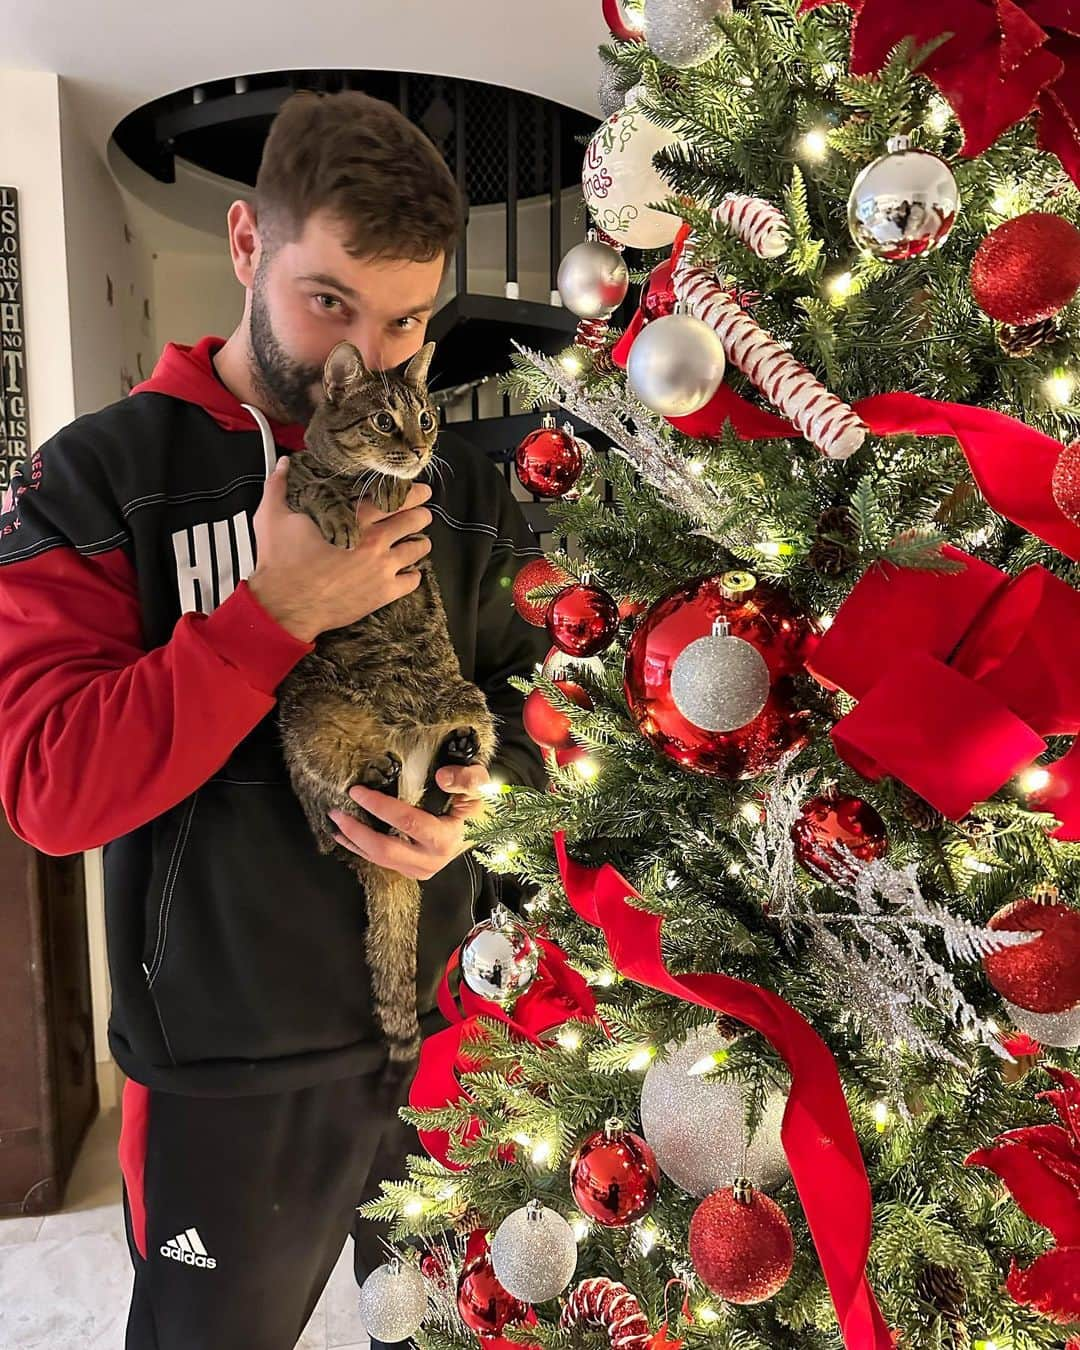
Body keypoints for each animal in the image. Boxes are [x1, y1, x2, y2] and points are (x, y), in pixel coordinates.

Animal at [276, 337, 499, 1063]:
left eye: (426, 417)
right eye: (383, 421)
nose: (420, 446)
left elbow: (397, 492)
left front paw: (384, 489)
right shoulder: (295, 479)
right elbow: (312, 481)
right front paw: (341, 512)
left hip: (468, 698)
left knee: (440, 789)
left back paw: (449, 759)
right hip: (308, 712)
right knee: (339, 814)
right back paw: (374, 780)